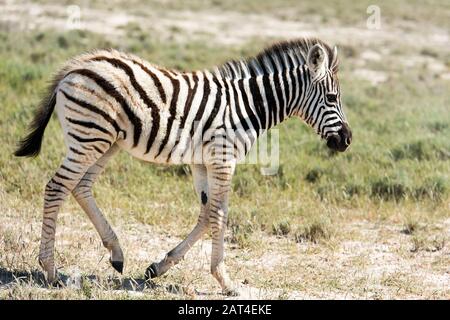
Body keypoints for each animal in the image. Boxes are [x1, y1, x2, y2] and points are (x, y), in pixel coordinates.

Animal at [14, 37, 352, 296]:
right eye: (332, 97)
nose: (347, 140)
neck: (249, 106)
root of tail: (76, 64)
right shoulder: (223, 158)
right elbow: (219, 214)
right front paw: (226, 281)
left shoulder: (202, 161)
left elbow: (206, 214)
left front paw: (158, 267)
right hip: (90, 137)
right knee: (57, 187)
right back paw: (51, 271)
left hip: (105, 142)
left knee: (80, 186)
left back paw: (116, 254)